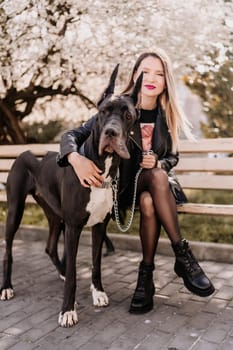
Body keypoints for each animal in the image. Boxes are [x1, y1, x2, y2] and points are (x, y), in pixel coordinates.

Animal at [0, 65, 142, 328]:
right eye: (102, 112)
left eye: (128, 115)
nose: (111, 132)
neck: (102, 166)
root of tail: (24, 150)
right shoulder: (74, 226)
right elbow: (76, 272)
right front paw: (67, 310)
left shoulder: (99, 225)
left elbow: (96, 263)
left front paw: (98, 292)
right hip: (15, 209)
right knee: (9, 250)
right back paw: (6, 287)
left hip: (55, 214)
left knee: (49, 247)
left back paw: (62, 270)